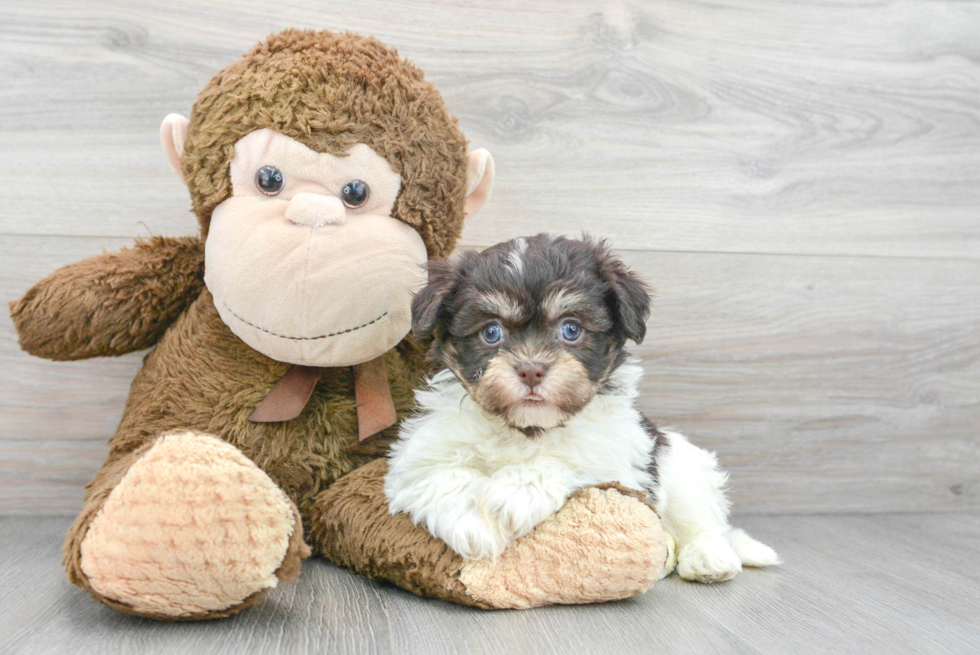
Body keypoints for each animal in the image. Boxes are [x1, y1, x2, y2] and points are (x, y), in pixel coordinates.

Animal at [386, 236, 776, 584]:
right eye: (491, 332)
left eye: (571, 328)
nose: (531, 370)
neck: (526, 430)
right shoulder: (419, 456)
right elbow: (441, 474)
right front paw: (474, 519)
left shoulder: (617, 458)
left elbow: (568, 457)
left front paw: (513, 494)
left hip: (680, 463)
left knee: (701, 520)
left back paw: (708, 557)